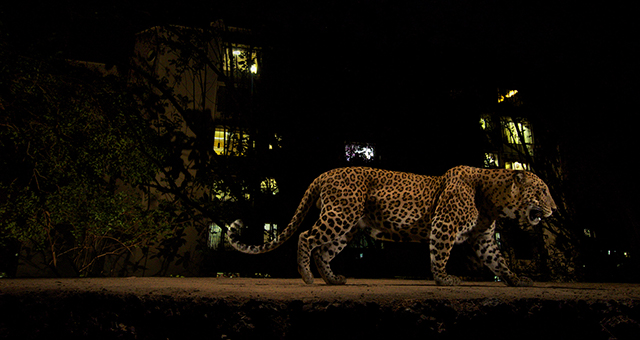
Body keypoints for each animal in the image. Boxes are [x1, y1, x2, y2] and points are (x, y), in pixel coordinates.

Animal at [228, 166, 556, 286]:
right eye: (541, 191)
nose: (553, 209)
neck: (493, 199)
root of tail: (324, 174)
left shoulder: (485, 239)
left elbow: (498, 261)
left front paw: (516, 279)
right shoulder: (444, 225)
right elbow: (440, 255)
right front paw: (444, 279)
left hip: (347, 227)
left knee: (323, 251)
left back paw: (333, 279)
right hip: (339, 216)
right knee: (307, 237)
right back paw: (307, 277)